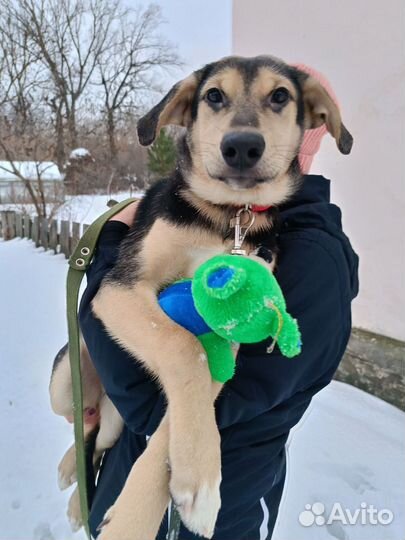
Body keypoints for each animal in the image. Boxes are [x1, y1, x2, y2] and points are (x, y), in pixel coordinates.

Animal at [49, 56, 350, 540]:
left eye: (280, 96)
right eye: (213, 96)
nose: (242, 146)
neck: (228, 216)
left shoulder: (228, 328)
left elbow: (186, 398)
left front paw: (183, 487)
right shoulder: (120, 288)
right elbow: (182, 346)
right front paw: (138, 519)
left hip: (114, 416)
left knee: (96, 437)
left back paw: (79, 497)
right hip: (64, 379)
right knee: (79, 420)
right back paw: (68, 470)